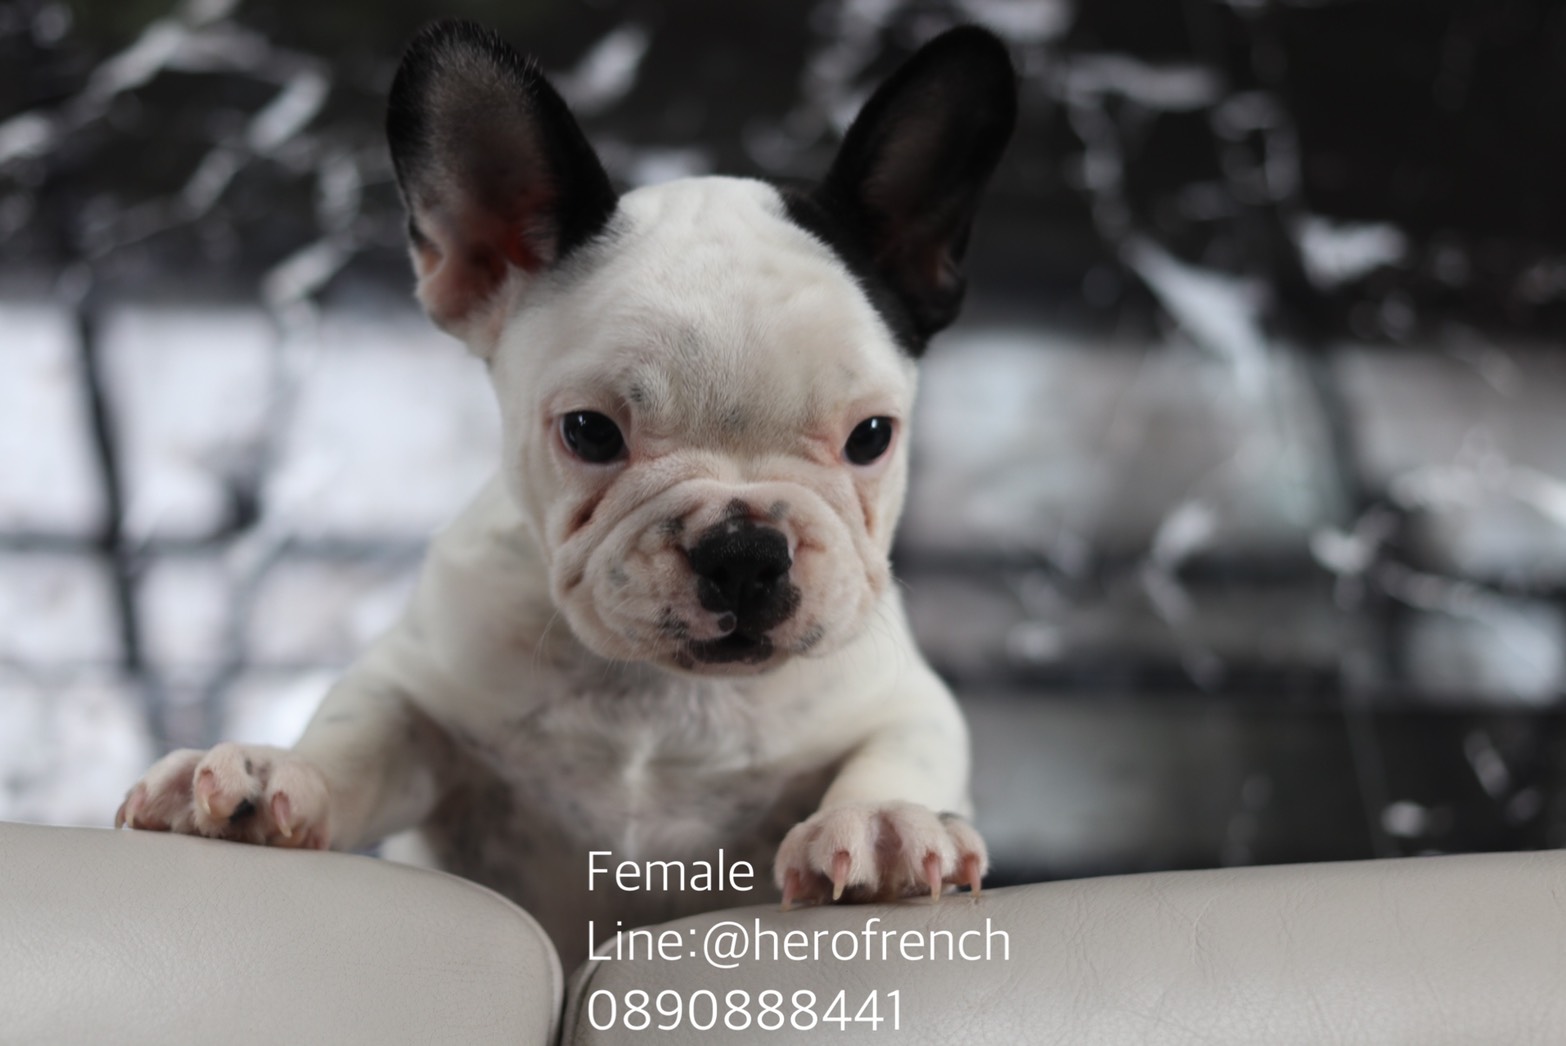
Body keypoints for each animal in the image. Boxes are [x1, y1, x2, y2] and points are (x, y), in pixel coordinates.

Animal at [116, 19, 1016, 972]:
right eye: (589, 433)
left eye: (871, 437)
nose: (743, 548)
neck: (659, 693)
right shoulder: (418, 701)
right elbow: (359, 735)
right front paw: (275, 773)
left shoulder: (906, 699)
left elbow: (904, 748)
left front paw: (884, 824)